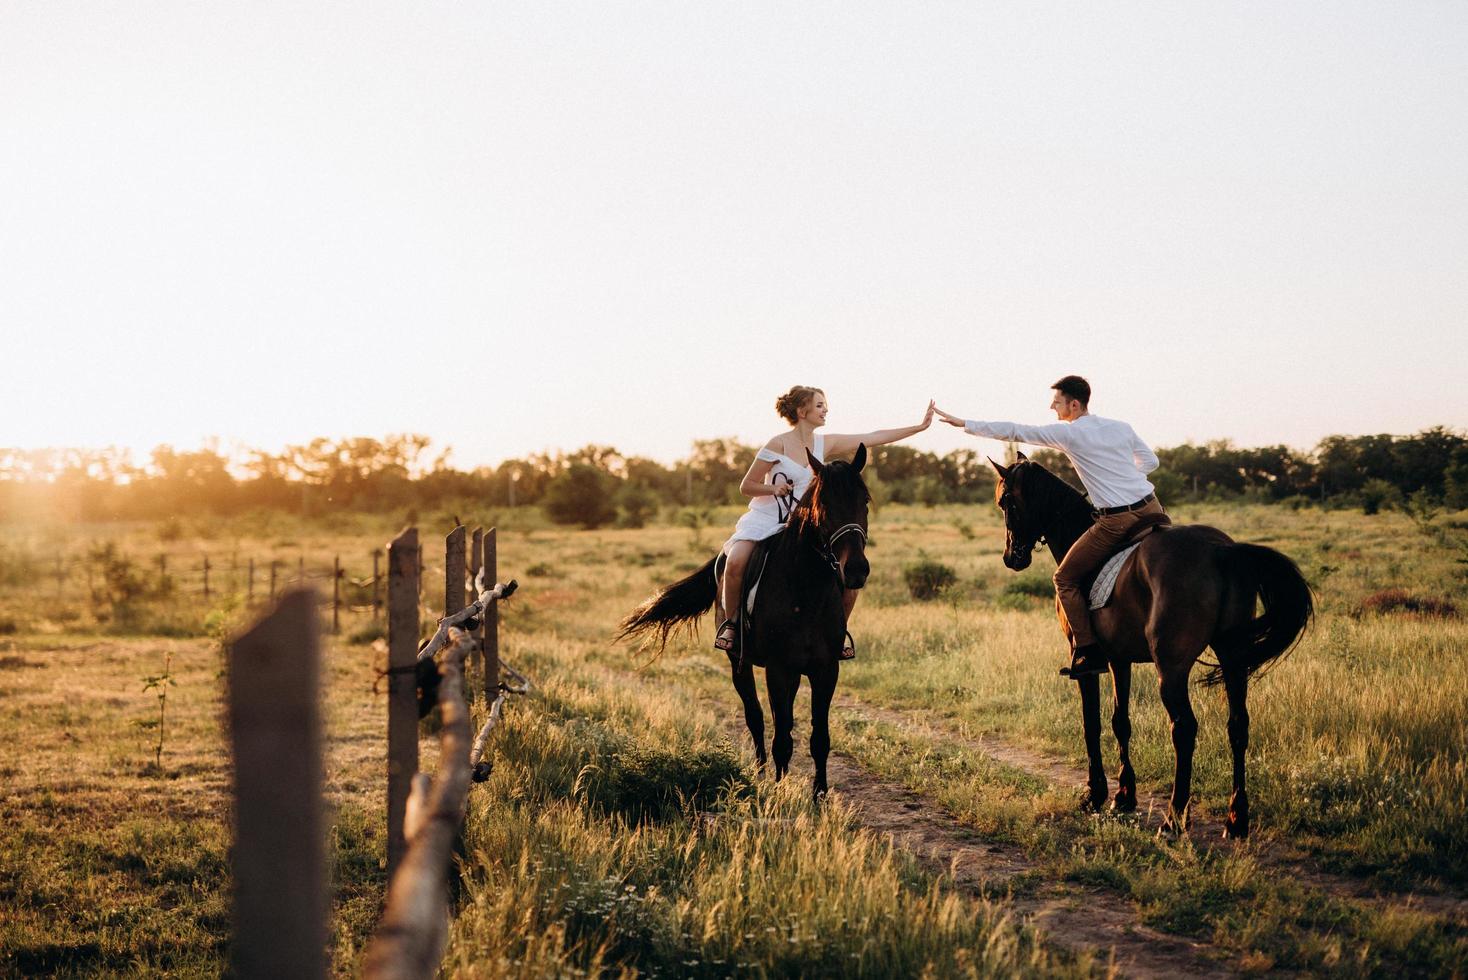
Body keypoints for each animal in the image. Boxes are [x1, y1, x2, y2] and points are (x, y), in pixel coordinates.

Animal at [613, 443, 863, 798]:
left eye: (864, 500)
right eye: (824, 504)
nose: (856, 569)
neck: (805, 590)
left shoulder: (826, 669)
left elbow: (819, 739)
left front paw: (819, 796)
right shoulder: (778, 669)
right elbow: (781, 738)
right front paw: (779, 793)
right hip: (739, 662)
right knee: (755, 717)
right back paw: (759, 773)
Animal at [992, 454, 1315, 839]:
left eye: (1006, 502)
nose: (1012, 557)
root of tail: (1222, 550)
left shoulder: (1087, 663)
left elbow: (1091, 723)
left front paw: (1095, 795)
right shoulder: (1119, 660)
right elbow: (1121, 722)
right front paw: (1123, 796)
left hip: (1171, 667)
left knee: (1184, 728)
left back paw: (1174, 819)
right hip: (1233, 658)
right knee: (1238, 726)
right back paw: (1237, 819)